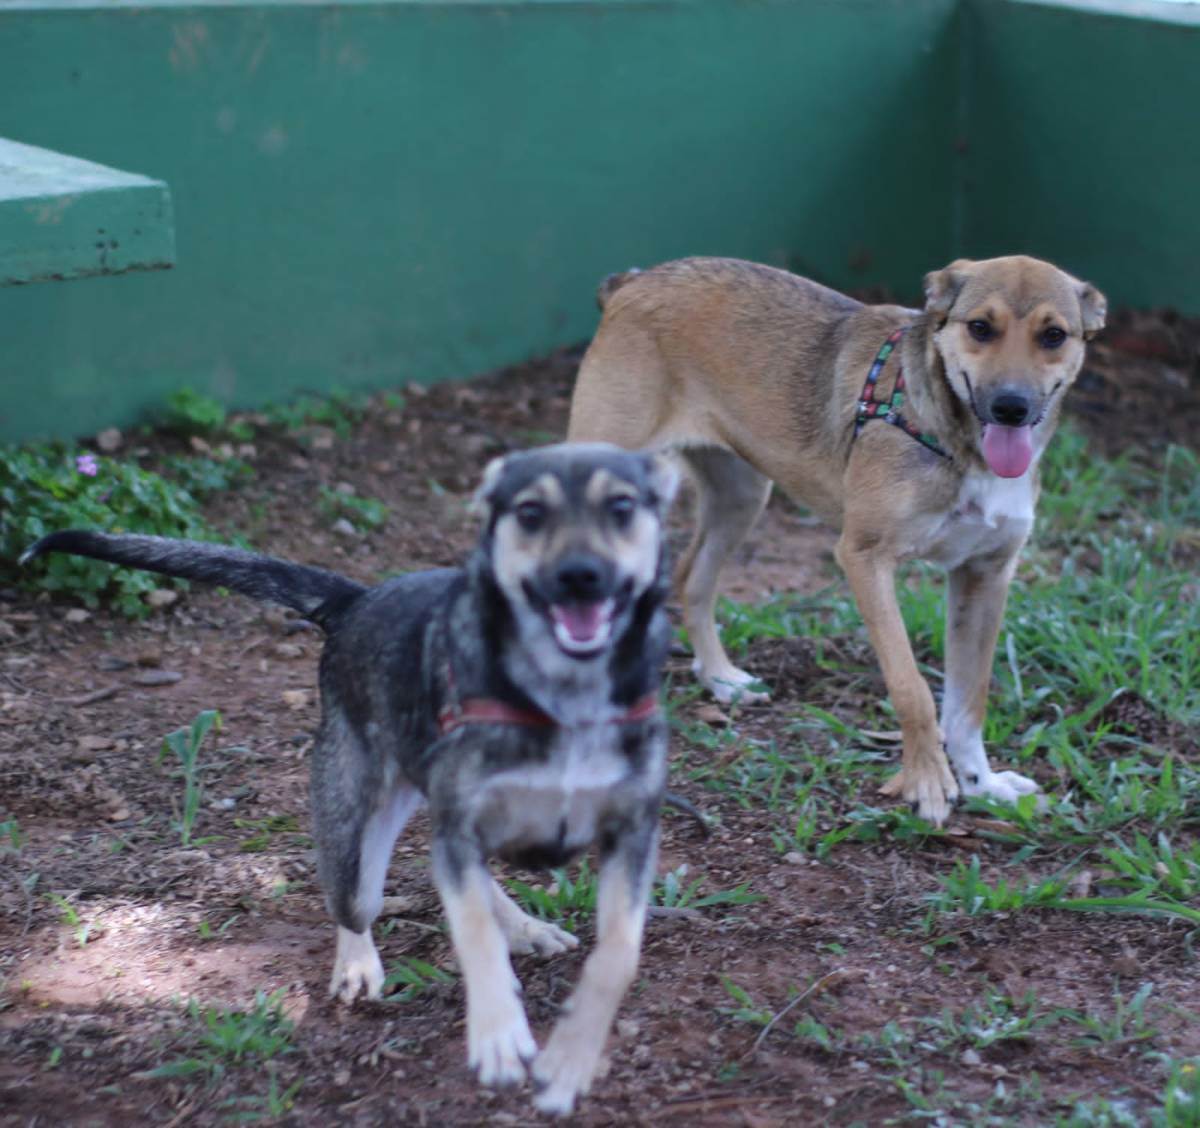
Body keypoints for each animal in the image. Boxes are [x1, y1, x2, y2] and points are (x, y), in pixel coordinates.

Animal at [22, 442, 679, 1116]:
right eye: (530, 513)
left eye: (622, 507)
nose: (580, 575)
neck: (566, 693)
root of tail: (356, 601)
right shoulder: (459, 825)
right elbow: (473, 935)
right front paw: (498, 1033)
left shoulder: (631, 835)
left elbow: (617, 955)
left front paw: (571, 1059)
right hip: (355, 819)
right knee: (358, 901)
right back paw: (360, 963)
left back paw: (525, 926)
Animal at [567, 255, 1106, 825]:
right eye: (980, 327)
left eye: (1053, 335)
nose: (1010, 407)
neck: (957, 444)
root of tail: (635, 281)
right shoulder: (865, 558)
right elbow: (912, 688)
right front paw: (928, 781)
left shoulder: (985, 574)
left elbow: (968, 700)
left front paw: (983, 784)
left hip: (742, 496)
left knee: (693, 579)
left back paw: (719, 678)